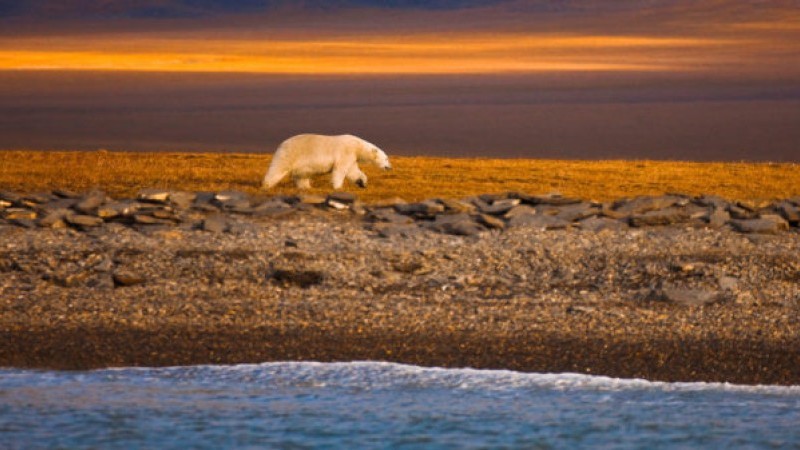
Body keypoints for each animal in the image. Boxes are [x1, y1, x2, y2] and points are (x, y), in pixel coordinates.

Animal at [262, 134, 390, 190]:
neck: (357, 146)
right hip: (290, 154)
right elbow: (340, 170)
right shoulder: (346, 152)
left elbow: (353, 171)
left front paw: (362, 182)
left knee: (302, 175)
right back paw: (266, 185)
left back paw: (306, 187)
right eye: (386, 158)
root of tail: (281, 144)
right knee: (277, 169)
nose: (389, 167)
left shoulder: (352, 157)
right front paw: (338, 187)